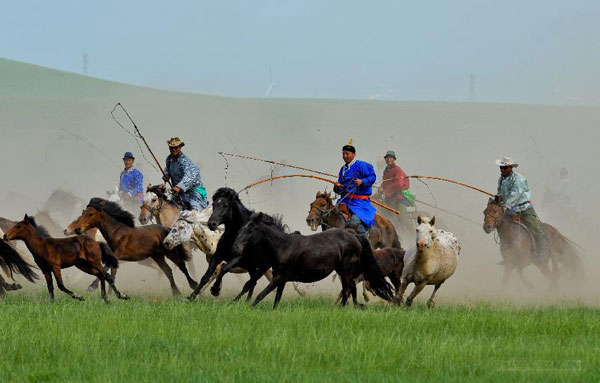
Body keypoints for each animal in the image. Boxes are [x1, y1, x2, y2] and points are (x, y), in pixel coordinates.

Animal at [65, 198, 197, 296]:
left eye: (91, 214)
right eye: (83, 213)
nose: (77, 229)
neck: (117, 233)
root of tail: (167, 229)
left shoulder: (116, 256)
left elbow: (105, 270)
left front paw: (92, 287)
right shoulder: (115, 259)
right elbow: (112, 274)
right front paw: (112, 294)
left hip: (170, 253)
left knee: (181, 266)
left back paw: (193, 285)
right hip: (157, 256)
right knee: (167, 270)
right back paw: (176, 292)